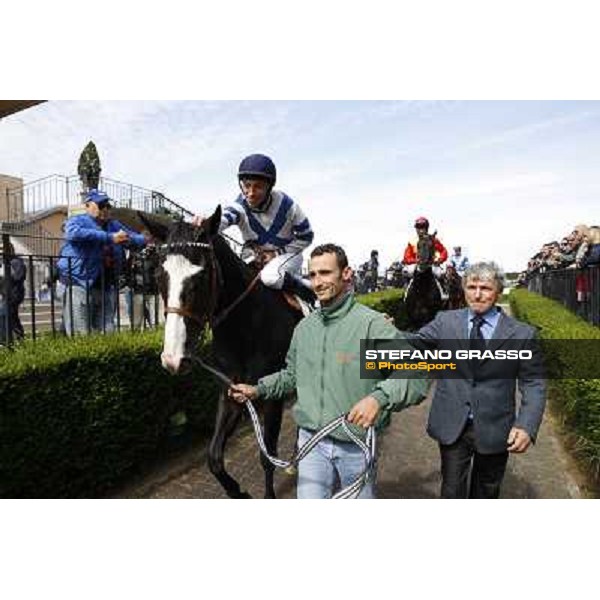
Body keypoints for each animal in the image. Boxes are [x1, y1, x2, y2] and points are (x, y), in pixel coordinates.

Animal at [139, 206, 300, 496]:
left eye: (201, 276)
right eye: (159, 276)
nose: (173, 359)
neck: (246, 329)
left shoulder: (273, 395)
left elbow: (267, 455)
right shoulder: (231, 390)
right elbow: (213, 457)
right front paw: (238, 492)